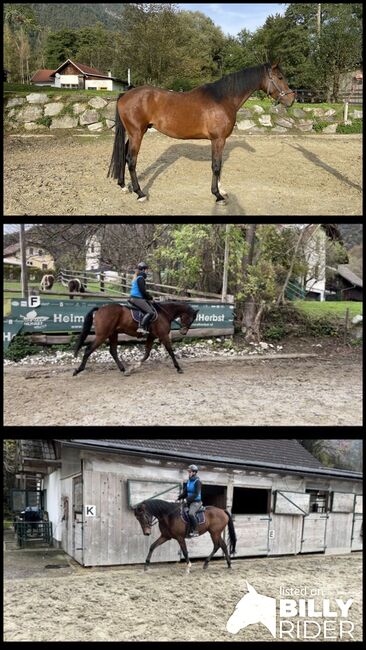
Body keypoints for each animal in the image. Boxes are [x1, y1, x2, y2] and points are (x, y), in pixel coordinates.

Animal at [108, 61, 294, 202]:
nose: (292, 99)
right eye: (280, 77)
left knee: (123, 155)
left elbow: (219, 165)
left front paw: (222, 190)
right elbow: (216, 166)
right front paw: (218, 195)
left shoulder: (220, 141)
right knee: (131, 160)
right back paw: (140, 193)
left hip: (135, 133)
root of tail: (125, 94)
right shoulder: (218, 139)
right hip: (137, 134)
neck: (223, 98)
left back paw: (123, 186)